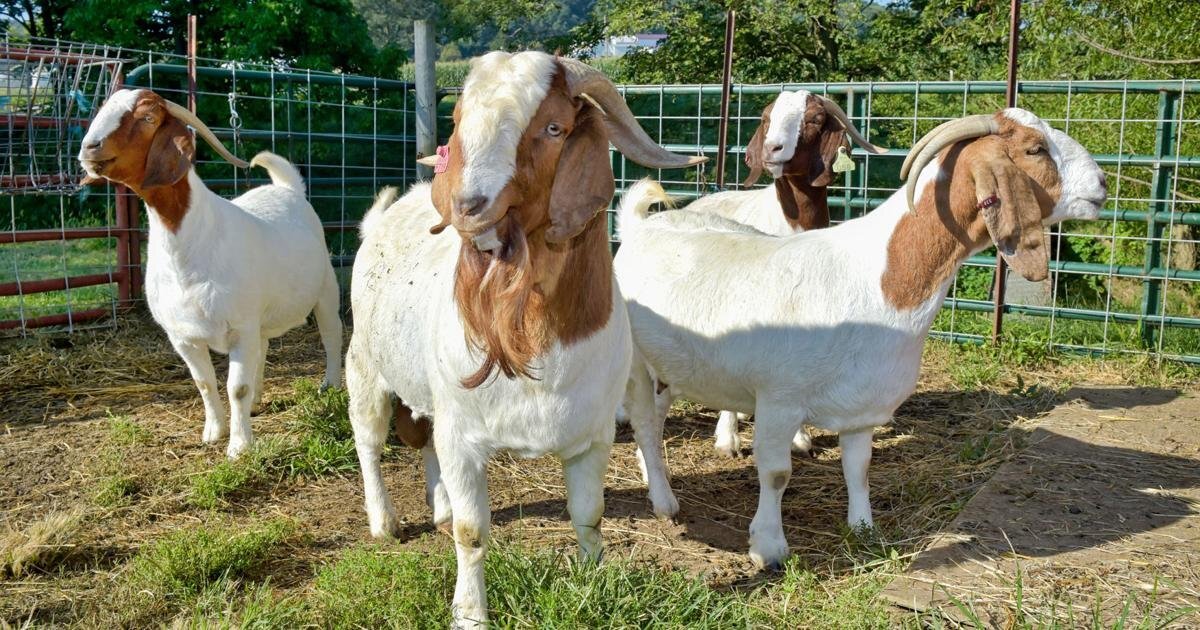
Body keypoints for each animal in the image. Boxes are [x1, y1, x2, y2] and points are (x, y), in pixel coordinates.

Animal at [78, 89, 342, 459]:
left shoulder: (240, 327)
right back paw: (259, 399)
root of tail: (287, 189)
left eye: (148, 117)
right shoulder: (183, 335)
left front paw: (239, 447)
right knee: (263, 348)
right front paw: (214, 432)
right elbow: (204, 383)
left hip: (325, 291)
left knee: (332, 336)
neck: (187, 249)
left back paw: (329, 386)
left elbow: (237, 387)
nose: (90, 147)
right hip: (259, 317)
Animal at [347, 51, 704, 628]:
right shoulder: (464, 436)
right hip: (365, 367)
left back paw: (438, 508)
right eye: (458, 120)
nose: (470, 205)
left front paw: (590, 583)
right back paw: (384, 521)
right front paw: (470, 613)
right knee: (369, 442)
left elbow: (589, 514)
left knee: (424, 441)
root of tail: (384, 214)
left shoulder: (593, 435)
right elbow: (472, 532)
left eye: (554, 127)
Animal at [614, 109, 1107, 569]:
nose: (1102, 183)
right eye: (1035, 149)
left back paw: (652, 476)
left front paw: (864, 530)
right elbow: (775, 473)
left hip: (670, 366)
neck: (877, 279)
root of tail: (639, 227)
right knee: (642, 421)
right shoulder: (779, 399)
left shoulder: (861, 405)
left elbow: (860, 468)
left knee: (655, 418)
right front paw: (768, 548)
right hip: (634, 362)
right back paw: (665, 503)